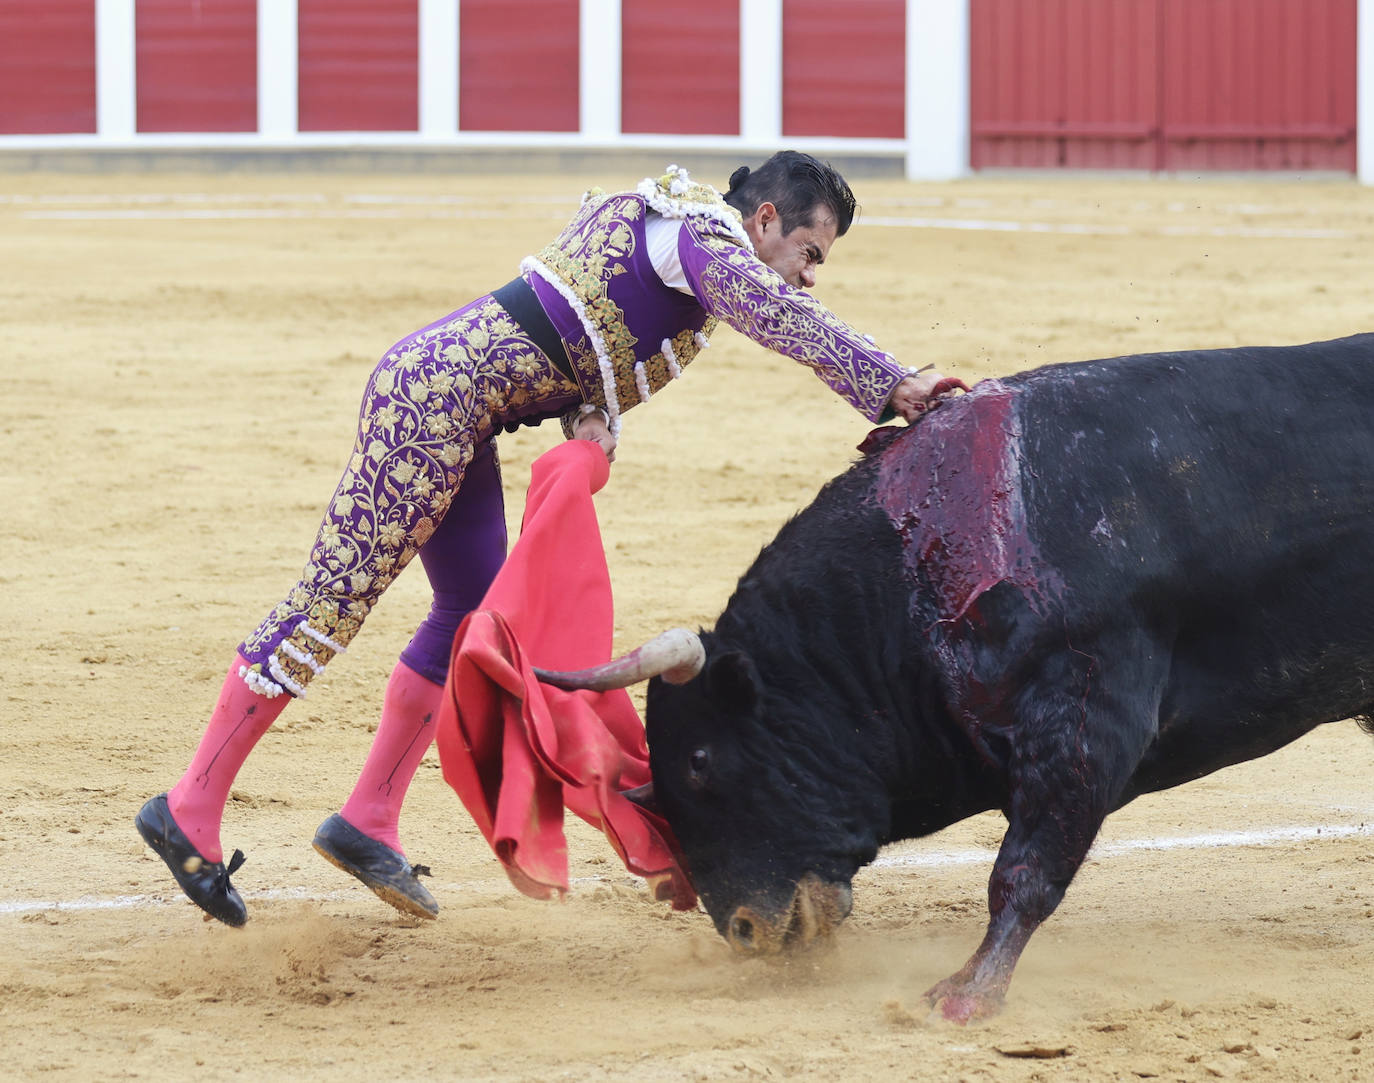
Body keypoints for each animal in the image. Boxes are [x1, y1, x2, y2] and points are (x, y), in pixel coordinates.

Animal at [533, 332, 1374, 1022]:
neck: (921, 566)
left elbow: (1024, 871)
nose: (745, 930)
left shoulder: (1083, 722)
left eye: (702, 762)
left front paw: (966, 995)